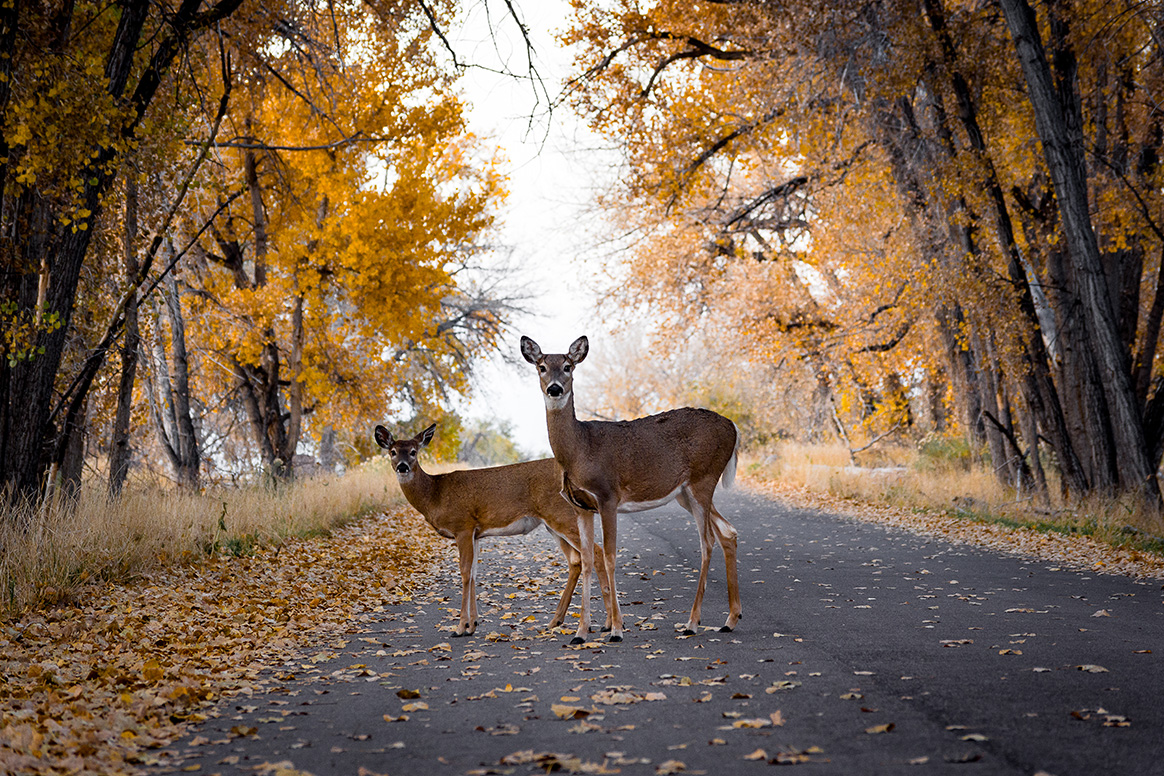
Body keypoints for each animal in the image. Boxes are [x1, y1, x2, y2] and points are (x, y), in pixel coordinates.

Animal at [377, 421, 619, 642]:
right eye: (392, 451)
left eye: (413, 451)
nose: (402, 467)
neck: (435, 494)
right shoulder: (475, 533)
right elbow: (473, 573)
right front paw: (473, 625)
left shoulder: (462, 526)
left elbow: (464, 572)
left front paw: (460, 627)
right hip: (553, 524)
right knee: (576, 560)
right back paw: (556, 621)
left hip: (563, 516)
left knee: (595, 553)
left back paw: (607, 625)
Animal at [523, 335, 740, 642]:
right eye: (541, 367)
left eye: (568, 366)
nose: (555, 388)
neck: (580, 450)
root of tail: (734, 427)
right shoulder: (581, 506)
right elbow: (587, 559)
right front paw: (580, 632)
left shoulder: (608, 496)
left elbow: (610, 557)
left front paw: (616, 629)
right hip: (684, 493)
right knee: (727, 532)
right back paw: (730, 620)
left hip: (703, 479)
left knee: (707, 541)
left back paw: (692, 623)